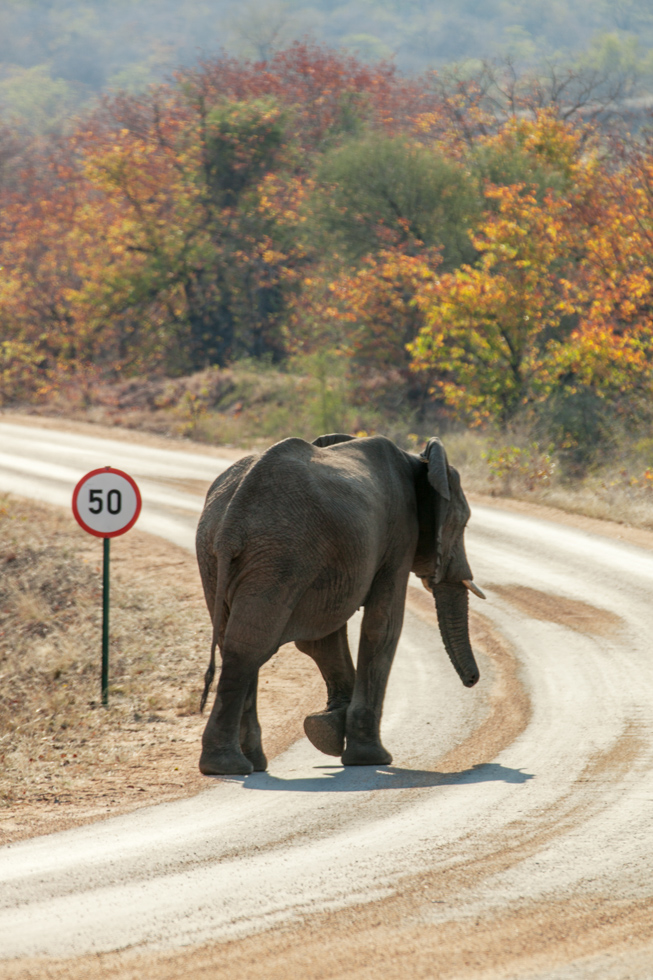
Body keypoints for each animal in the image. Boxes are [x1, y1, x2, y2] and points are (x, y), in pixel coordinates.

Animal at [191, 432, 482, 776]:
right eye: (463, 524)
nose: (473, 680)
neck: (417, 460)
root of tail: (230, 524)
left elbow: (322, 639)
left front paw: (326, 729)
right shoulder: (399, 535)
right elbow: (383, 626)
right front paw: (371, 758)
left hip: (220, 555)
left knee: (234, 640)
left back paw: (249, 763)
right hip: (280, 554)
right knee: (249, 645)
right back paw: (228, 766)